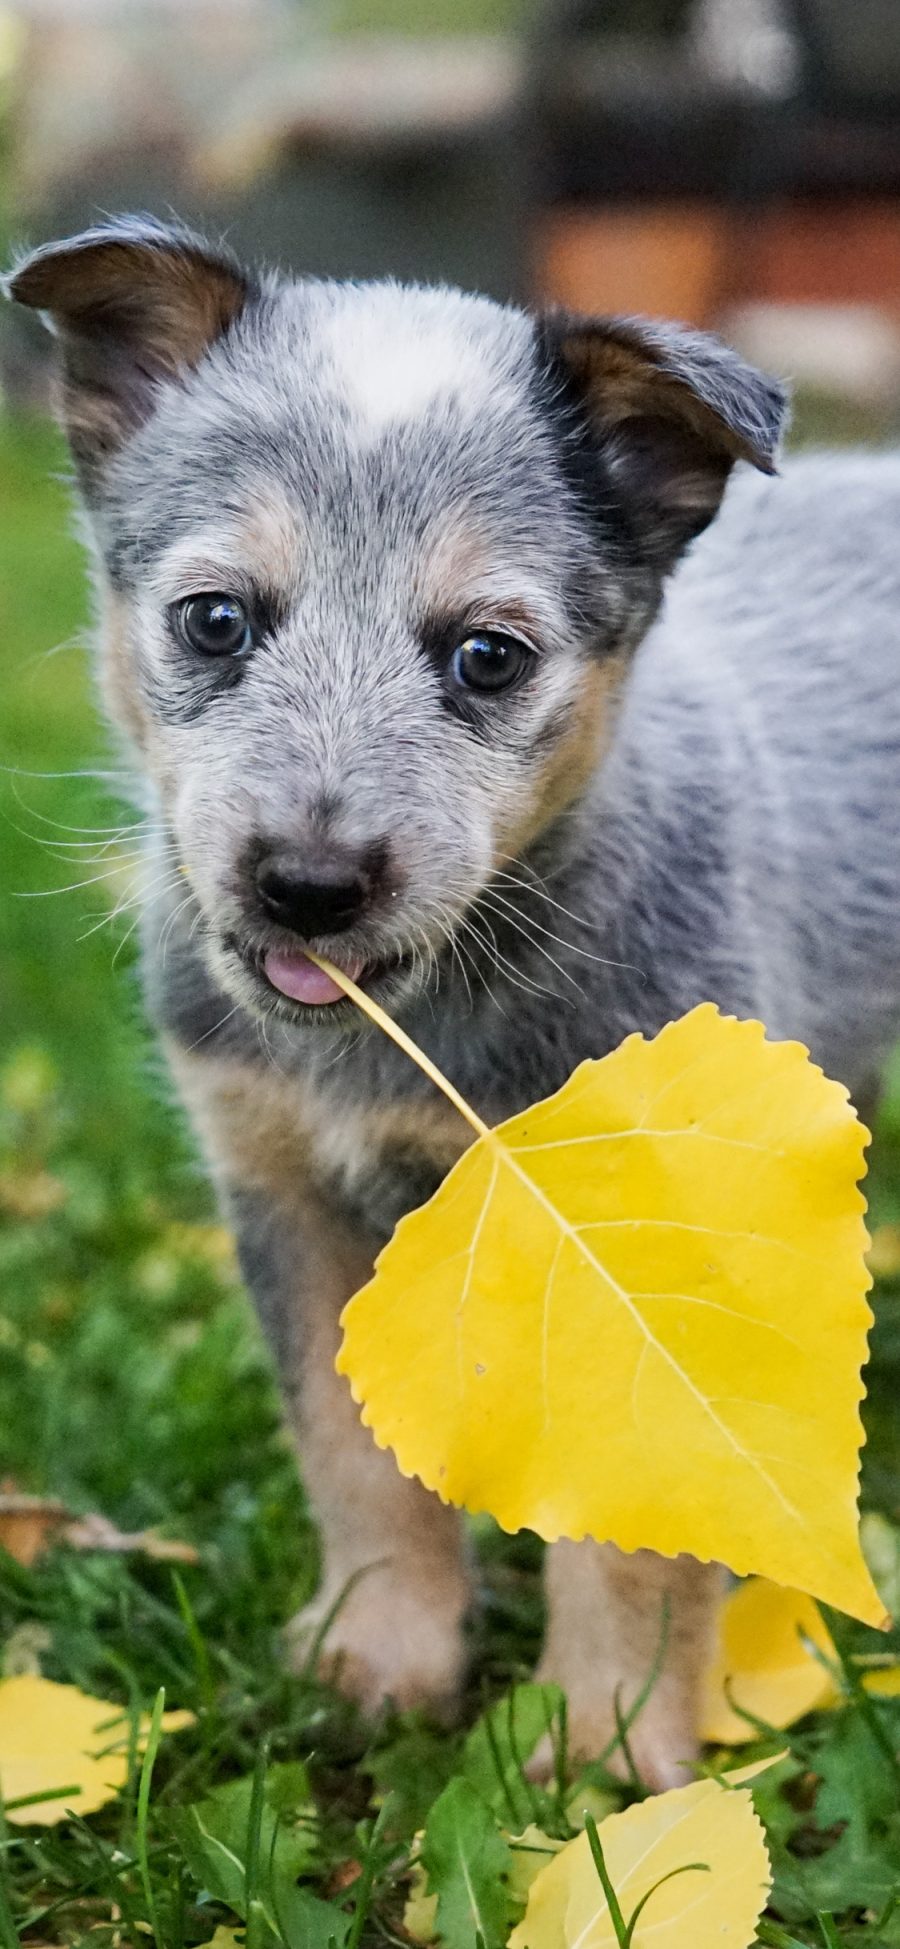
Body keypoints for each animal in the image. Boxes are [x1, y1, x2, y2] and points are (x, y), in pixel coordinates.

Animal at [8, 221, 900, 1785]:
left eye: (489, 654)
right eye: (216, 620)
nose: (309, 884)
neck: (413, 1043)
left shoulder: (655, 1230)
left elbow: (638, 1535)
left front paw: (607, 1749)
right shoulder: (284, 1193)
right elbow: (349, 1456)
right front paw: (384, 1658)